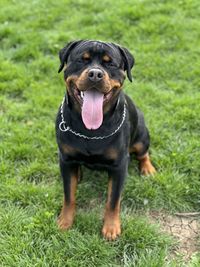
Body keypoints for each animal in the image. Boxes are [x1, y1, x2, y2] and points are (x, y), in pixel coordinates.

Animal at [55, 40, 156, 241]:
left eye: (110, 64)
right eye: (82, 60)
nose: (95, 73)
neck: (90, 130)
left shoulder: (119, 166)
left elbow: (113, 200)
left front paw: (111, 227)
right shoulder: (66, 159)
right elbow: (69, 196)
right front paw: (65, 222)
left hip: (141, 135)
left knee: (143, 153)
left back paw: (148, 169)